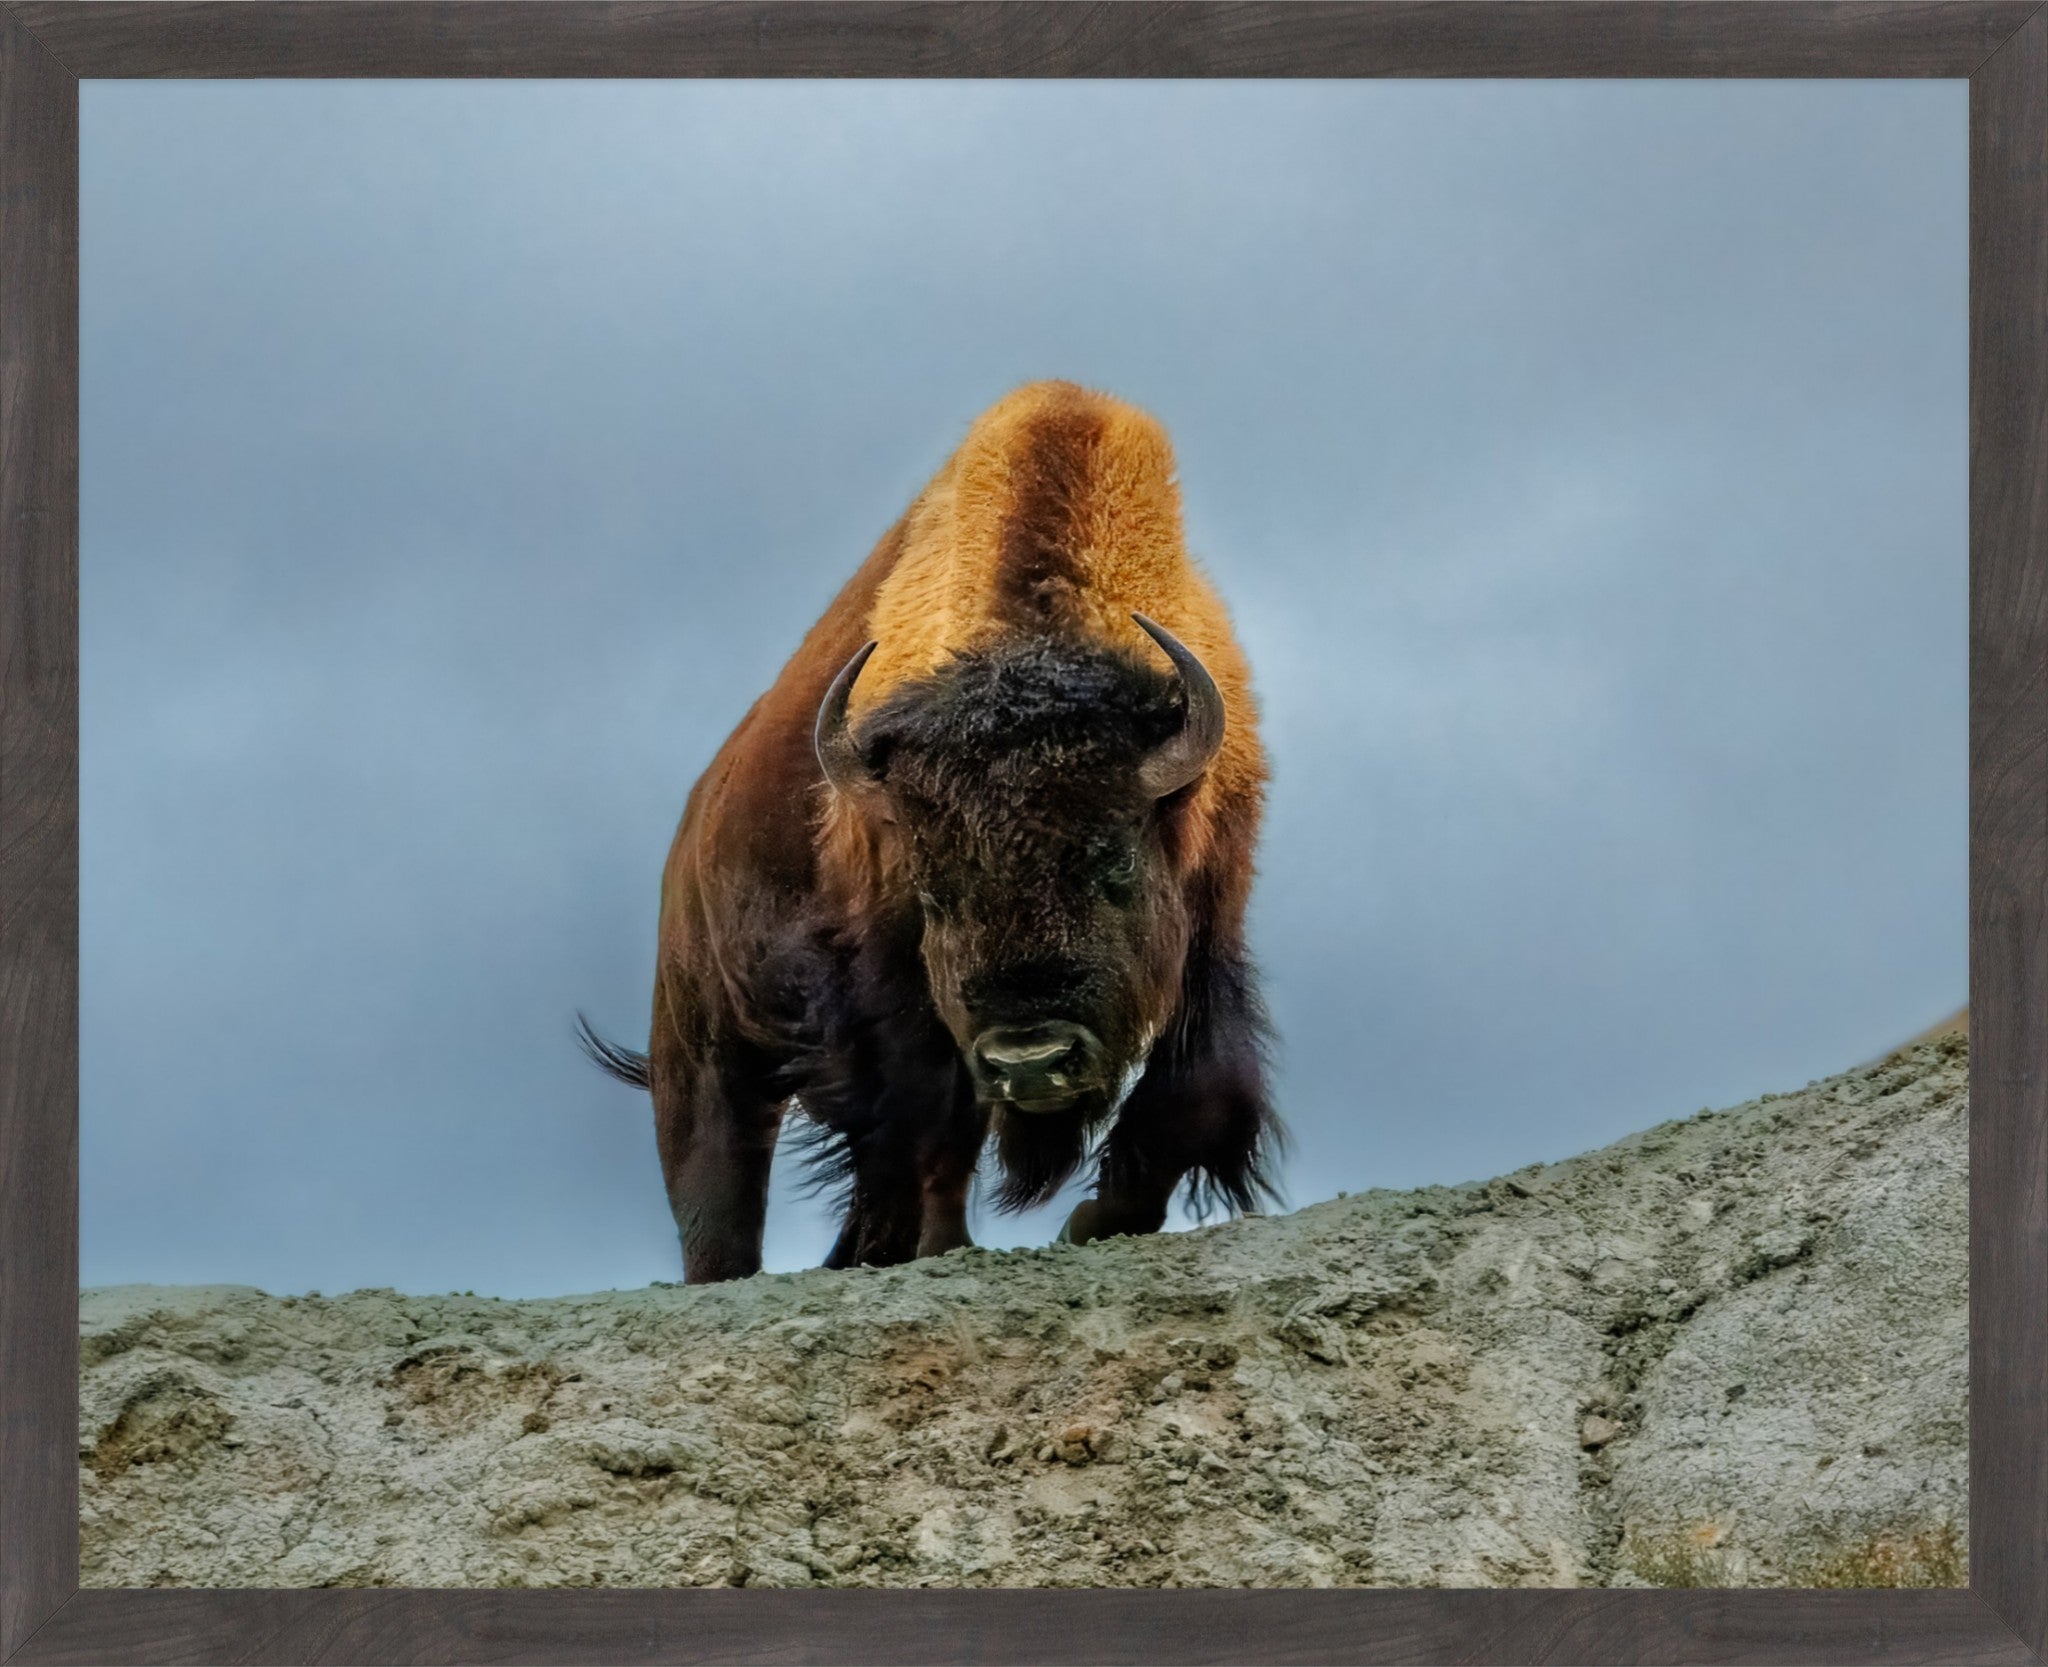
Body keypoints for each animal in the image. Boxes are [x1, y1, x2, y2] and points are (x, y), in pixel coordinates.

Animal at [580, 381, 1283, 1283]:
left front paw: (1095, 1218)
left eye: (1113, 871)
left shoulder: (1212, 910)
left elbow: (1203, 1089)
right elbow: (924, 1122)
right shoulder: (888, 981)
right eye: (935, 894)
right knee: (721, 1194)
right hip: (701, 1047)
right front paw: (934, 1243)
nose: (1031, 1060)